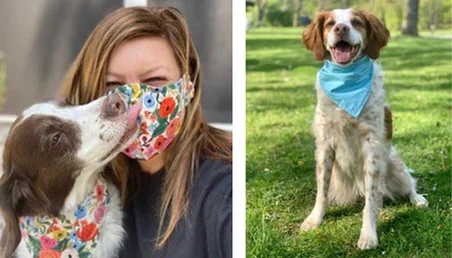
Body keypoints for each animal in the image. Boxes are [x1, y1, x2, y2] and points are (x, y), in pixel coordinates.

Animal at [300, 9, 428, 249]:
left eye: (356, 22)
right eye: (330, 23)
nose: (341, 28)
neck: (346, 81)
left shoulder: (372, 147)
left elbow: (371, 200)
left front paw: (368, 235)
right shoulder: (325, 145)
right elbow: (321, 191)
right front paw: (314, 220)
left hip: (395, 166)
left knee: (408, 185)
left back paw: (418, 199)